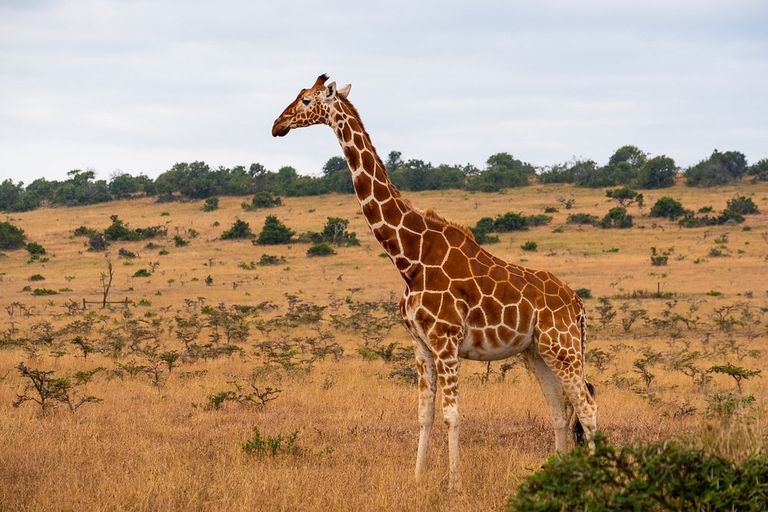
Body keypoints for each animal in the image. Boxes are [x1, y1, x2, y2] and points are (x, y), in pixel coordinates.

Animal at [272, 74, 597, 489]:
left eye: (305, 100)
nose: (277, 125)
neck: (408, 256)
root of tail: (578, 304)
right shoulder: (421, 344)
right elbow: (424, 415)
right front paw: (417, 478)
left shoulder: (445, 341)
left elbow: (451, 415)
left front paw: (454, 483)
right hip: (536, 352)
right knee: (560, 409)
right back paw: (557, 474)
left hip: (563, 348)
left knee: (587, 406)